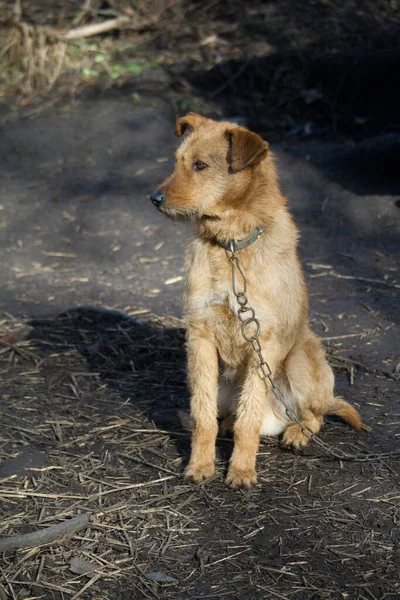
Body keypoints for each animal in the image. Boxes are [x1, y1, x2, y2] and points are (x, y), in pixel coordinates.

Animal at [149, 112, 366, 488]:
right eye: (177, 162)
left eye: (200, 165)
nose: (155, 198)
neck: (232, 246)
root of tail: (276, 419)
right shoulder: (199, 337)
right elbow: (202, 415)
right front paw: (200, 465)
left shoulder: (264, 340)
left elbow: (249, 419)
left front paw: (240, 470)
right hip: (223, 383)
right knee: (228, 414)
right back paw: (229, 423)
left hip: (299, 360)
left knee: (312, 416)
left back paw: (296, 433)